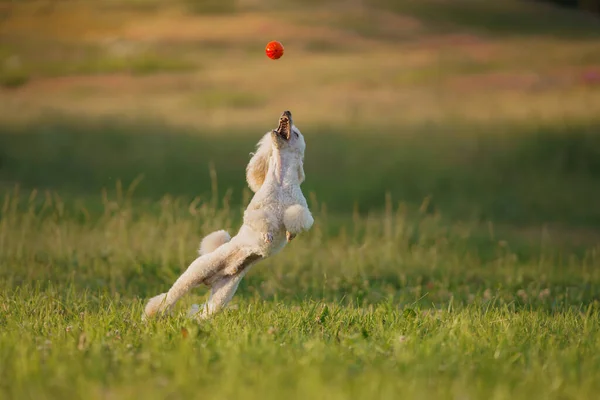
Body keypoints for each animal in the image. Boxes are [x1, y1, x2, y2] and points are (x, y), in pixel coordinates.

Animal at [143, 111, 314, 320]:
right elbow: (261, 220)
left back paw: (194, 321)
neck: (281, 183)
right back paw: (152, 314)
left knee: (205, 312)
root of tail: (213, 278)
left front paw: (290, 233)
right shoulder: (255, 211)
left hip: (223, 293)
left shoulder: (299, 207)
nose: (286, 112)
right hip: (197, 271)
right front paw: (267, 235)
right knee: (170, 296)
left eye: (295, 133)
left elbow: (297, 216)